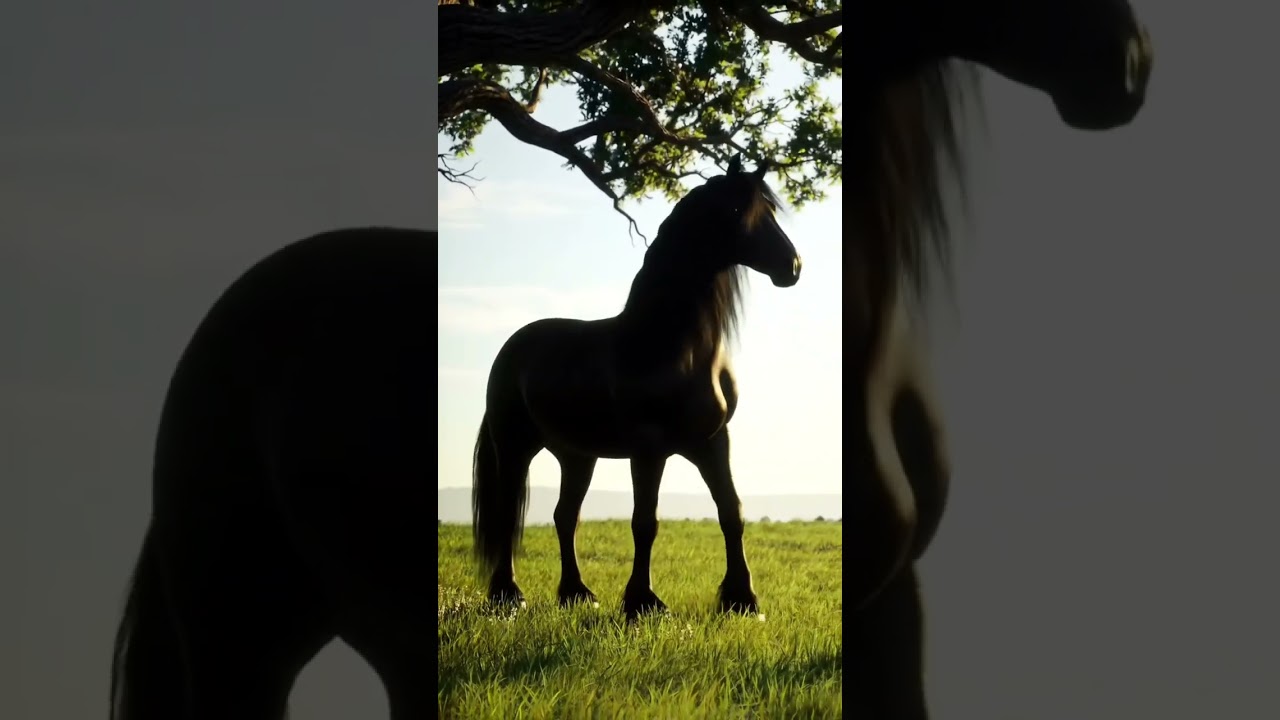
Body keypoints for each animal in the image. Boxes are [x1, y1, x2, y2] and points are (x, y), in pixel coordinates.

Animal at [471, 154, 801, 620]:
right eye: (739, 210)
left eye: (769, 210)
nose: (792, 266)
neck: (673, 346)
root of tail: (512, 348)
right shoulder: (648, 448)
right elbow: (645, 521)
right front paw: (642, 601)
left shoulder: (714, 443)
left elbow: (730, 512)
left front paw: (742, 599)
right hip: (515, 445)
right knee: (507, 512)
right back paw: (507, 594)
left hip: (577, 455)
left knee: (565, 517)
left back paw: (576, 593)